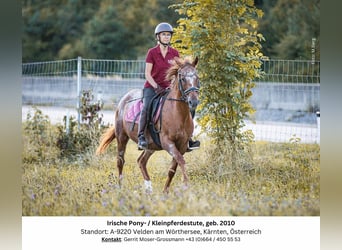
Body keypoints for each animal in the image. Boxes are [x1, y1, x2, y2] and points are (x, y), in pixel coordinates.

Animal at [95, 57, 200, 193]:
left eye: (197, 78)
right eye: (182, 78)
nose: (194, 101)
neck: (178, 114)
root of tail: (124, 99)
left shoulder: (182, 145)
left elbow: (172, 169)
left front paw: (165, 192)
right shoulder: (167, 142)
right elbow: (181, 161)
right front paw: (186, 185)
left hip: (151, 146)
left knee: (141, 161)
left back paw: (149, 188)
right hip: (122, 137)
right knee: (120, 161)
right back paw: (121, 187)